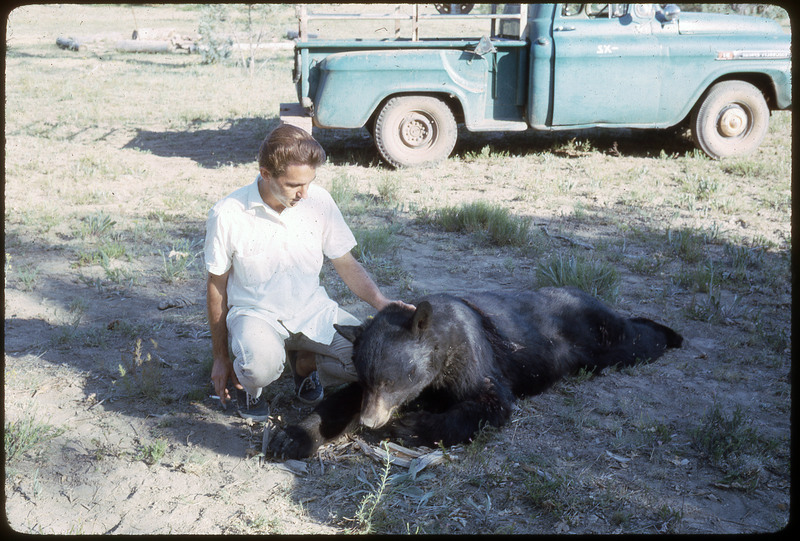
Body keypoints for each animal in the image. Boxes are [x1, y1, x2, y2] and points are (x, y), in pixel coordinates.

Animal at [268, 286, 680, 456]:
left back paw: (669, 333)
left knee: (634, 340)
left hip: (598, 337)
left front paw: (407, 426)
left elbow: (489, 403)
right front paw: (293, 437)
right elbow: (342, 400)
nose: (371, 421)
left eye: (391, 379)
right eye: (369, 378)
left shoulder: (474, 355)